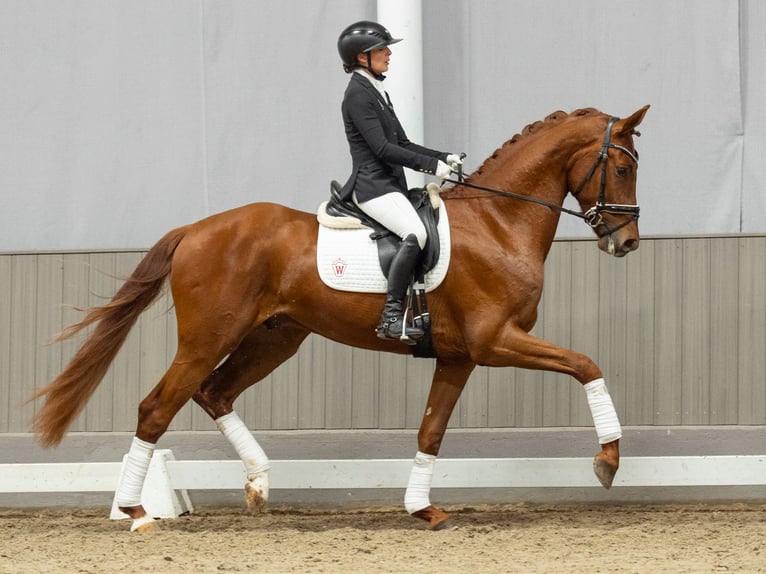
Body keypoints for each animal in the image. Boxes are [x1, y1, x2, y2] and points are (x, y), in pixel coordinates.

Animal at [30, 105, 650, 532]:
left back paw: (259, 484)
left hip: (276, 338)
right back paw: (135, 512)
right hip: (208, 338)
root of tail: (195, 229)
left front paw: (422, 509)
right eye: (621, 166)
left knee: (214, 392)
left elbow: (431, 430)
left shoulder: (458, 356)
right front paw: (608, 461)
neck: (499, 221)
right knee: (157, 407)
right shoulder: (495, 341)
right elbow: (586, 364)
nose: (627, 242)